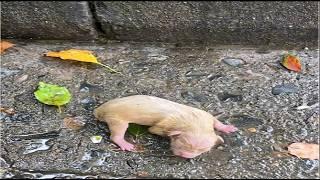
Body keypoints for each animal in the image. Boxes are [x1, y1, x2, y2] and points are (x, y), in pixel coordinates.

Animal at [93, 95, 238, 158]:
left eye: (202, 149)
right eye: (182, 143)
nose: (186, 156)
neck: (194, 123)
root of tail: (99, 110)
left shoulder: (205, 115)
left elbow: (215, 121)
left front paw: (228, 128)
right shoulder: (162, 125)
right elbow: (154, 130)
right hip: (117, 119)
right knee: (116, 135)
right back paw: (126, 144)